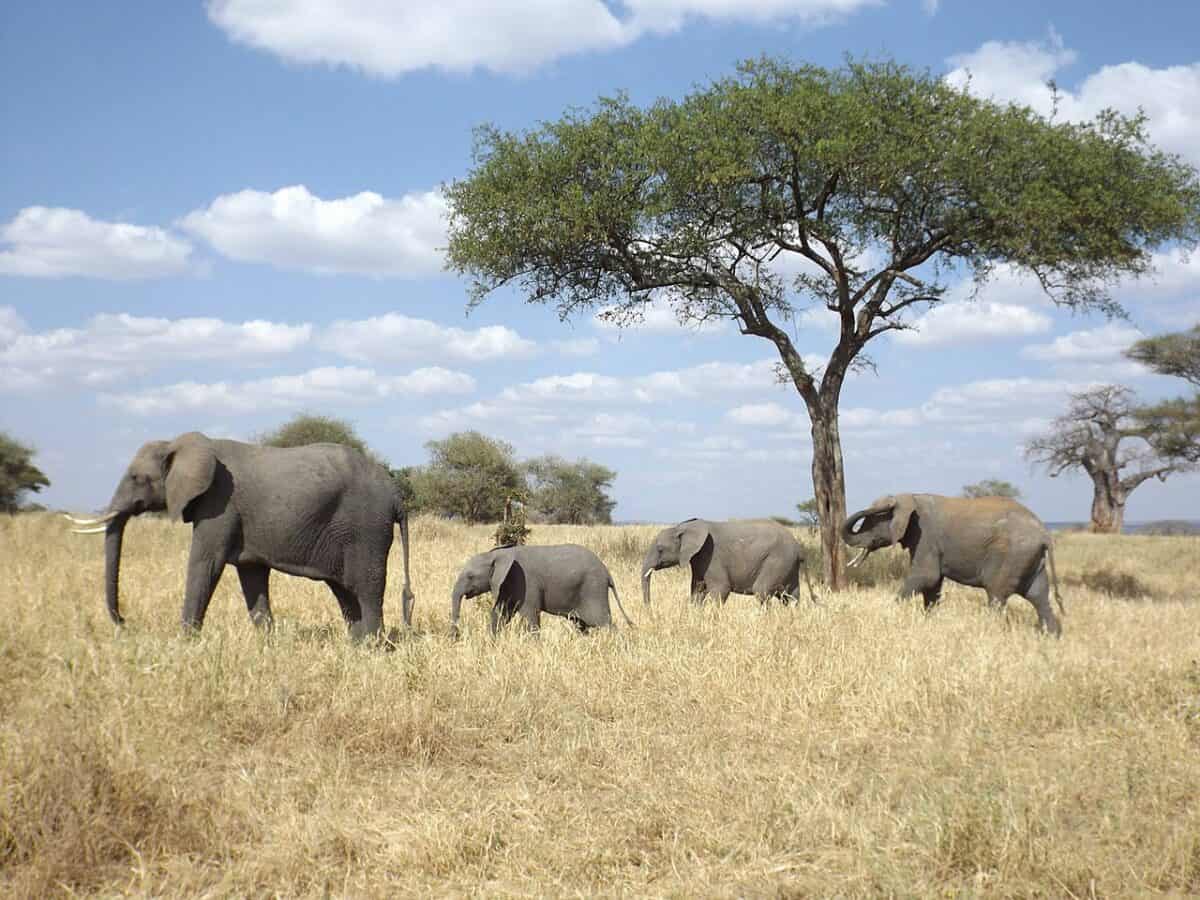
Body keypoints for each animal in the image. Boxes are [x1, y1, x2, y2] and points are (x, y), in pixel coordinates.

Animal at [65, 434, 415, 643]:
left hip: (365, 529)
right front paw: (267, 644)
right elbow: (251, 575)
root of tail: (395, 494)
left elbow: (205, 563)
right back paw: (357, 645)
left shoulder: (219, 504)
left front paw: (186, 643)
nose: (124, 622)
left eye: (138, 478)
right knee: (344, 590)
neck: (181, 444)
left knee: (367, 588)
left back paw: (373, 647)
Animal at [451, 547, 633, 638]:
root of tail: (607, 572)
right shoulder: (505, 583)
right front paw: (492, 642)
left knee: (603, 622)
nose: (456, 636)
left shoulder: (525, 582)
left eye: (470, 576)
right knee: (581, 625)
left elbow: (530, 615)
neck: (497, 554)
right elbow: (501, 613)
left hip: (593, 589)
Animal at [638, 520, 816, 607]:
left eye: (660, 549)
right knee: (790, 596)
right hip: (788, 565)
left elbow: (721, 590)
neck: (683, 527)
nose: (650, 610)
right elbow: (697, 590)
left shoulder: (712, 556)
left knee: (762, 592)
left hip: (777, 560)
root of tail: (799, 548)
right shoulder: (699, 559)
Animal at [840, 496, 1065, 638]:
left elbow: (926, 576)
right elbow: (932, 585)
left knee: (997, 596)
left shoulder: (926, 536)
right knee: (1039, 597)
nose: (888, 502)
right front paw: (928, 621)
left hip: (1012, 556)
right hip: (1030, 559)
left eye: (872, 521)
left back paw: (990, 633)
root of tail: (1045, 534)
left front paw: (890, 614)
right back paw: (1050, 639)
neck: (910, 497)